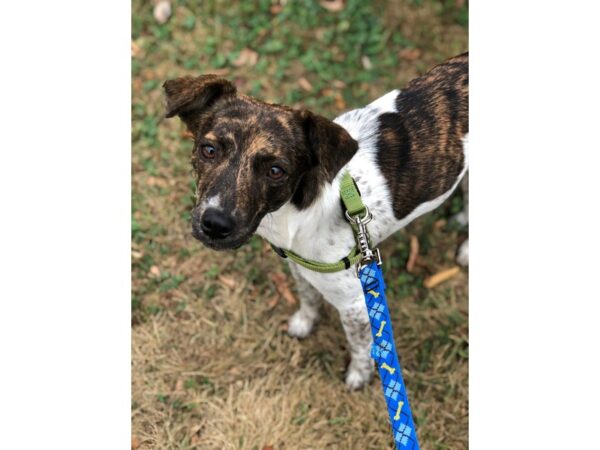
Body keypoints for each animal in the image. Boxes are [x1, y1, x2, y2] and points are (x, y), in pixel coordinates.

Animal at [163, 53, 468, 390]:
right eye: (209, 150)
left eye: (276, 170)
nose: (215, 224)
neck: (298, 214)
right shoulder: (300, 266)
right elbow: (308, 297)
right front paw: (304, 323)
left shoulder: (356, 301)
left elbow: (361, 344)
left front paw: (359, 375)